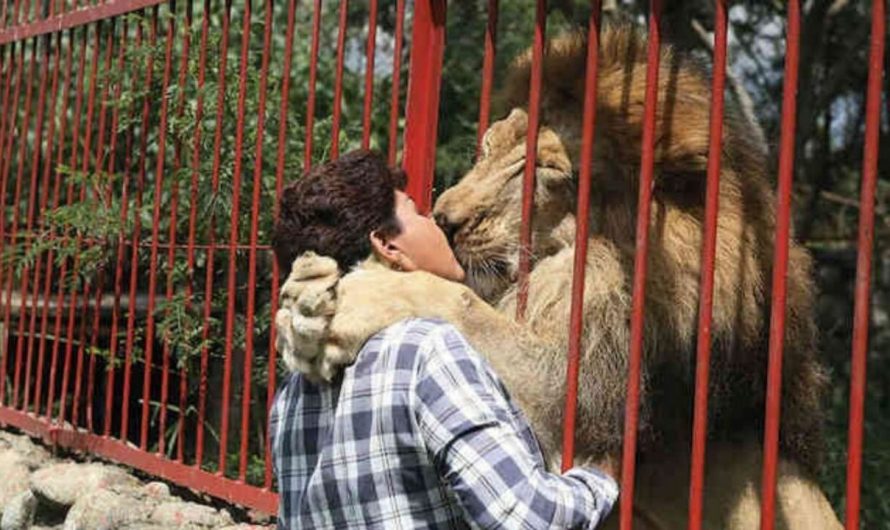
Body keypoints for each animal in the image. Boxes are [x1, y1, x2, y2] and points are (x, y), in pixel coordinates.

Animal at [278, 25, 840, 528]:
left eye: (545, 171)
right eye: (489, 148)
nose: (443, 219)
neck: (575, 264)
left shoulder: (584, 407)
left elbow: (464, 306)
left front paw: (359, 295)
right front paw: (303, 302)